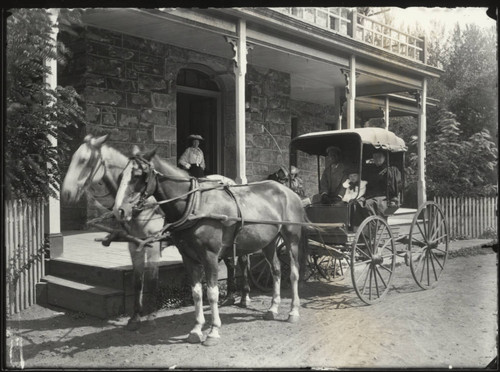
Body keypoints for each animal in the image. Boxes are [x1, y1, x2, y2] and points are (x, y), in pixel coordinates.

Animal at [114, 148, 306, 346]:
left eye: (138, 175)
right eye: (121, 175)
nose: (119, 211)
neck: (195, 203)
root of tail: (288, 191)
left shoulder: (210, 255)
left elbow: (212, 293)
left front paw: (213, 331)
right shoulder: (188, 257)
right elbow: (197, 293)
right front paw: (196, 329)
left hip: (291, 238)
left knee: (293, 272)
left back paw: (293, 311)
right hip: (268, 241)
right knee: (276, 270)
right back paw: (273, 308)